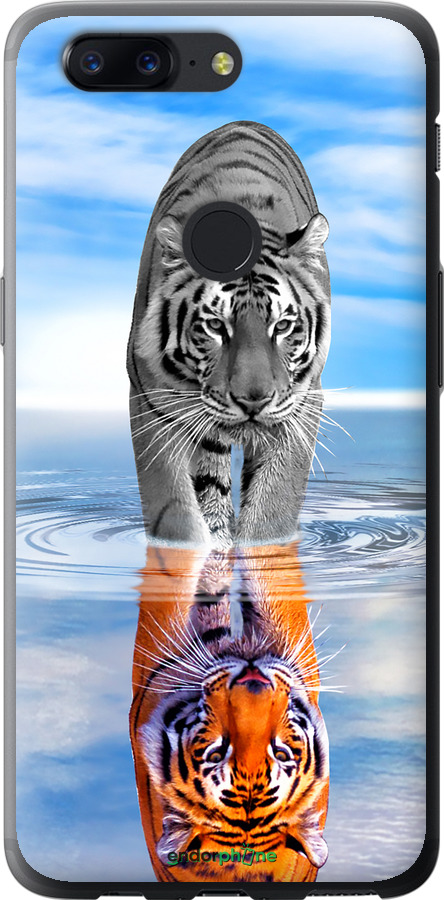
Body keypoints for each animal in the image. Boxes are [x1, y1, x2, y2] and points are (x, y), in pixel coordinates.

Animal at [127, 121, 331, 548]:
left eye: (282, 326)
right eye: (216, 326)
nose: (253, 401)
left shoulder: (302, 404)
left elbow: (273, 508)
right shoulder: (151, 400)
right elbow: (175, 511)